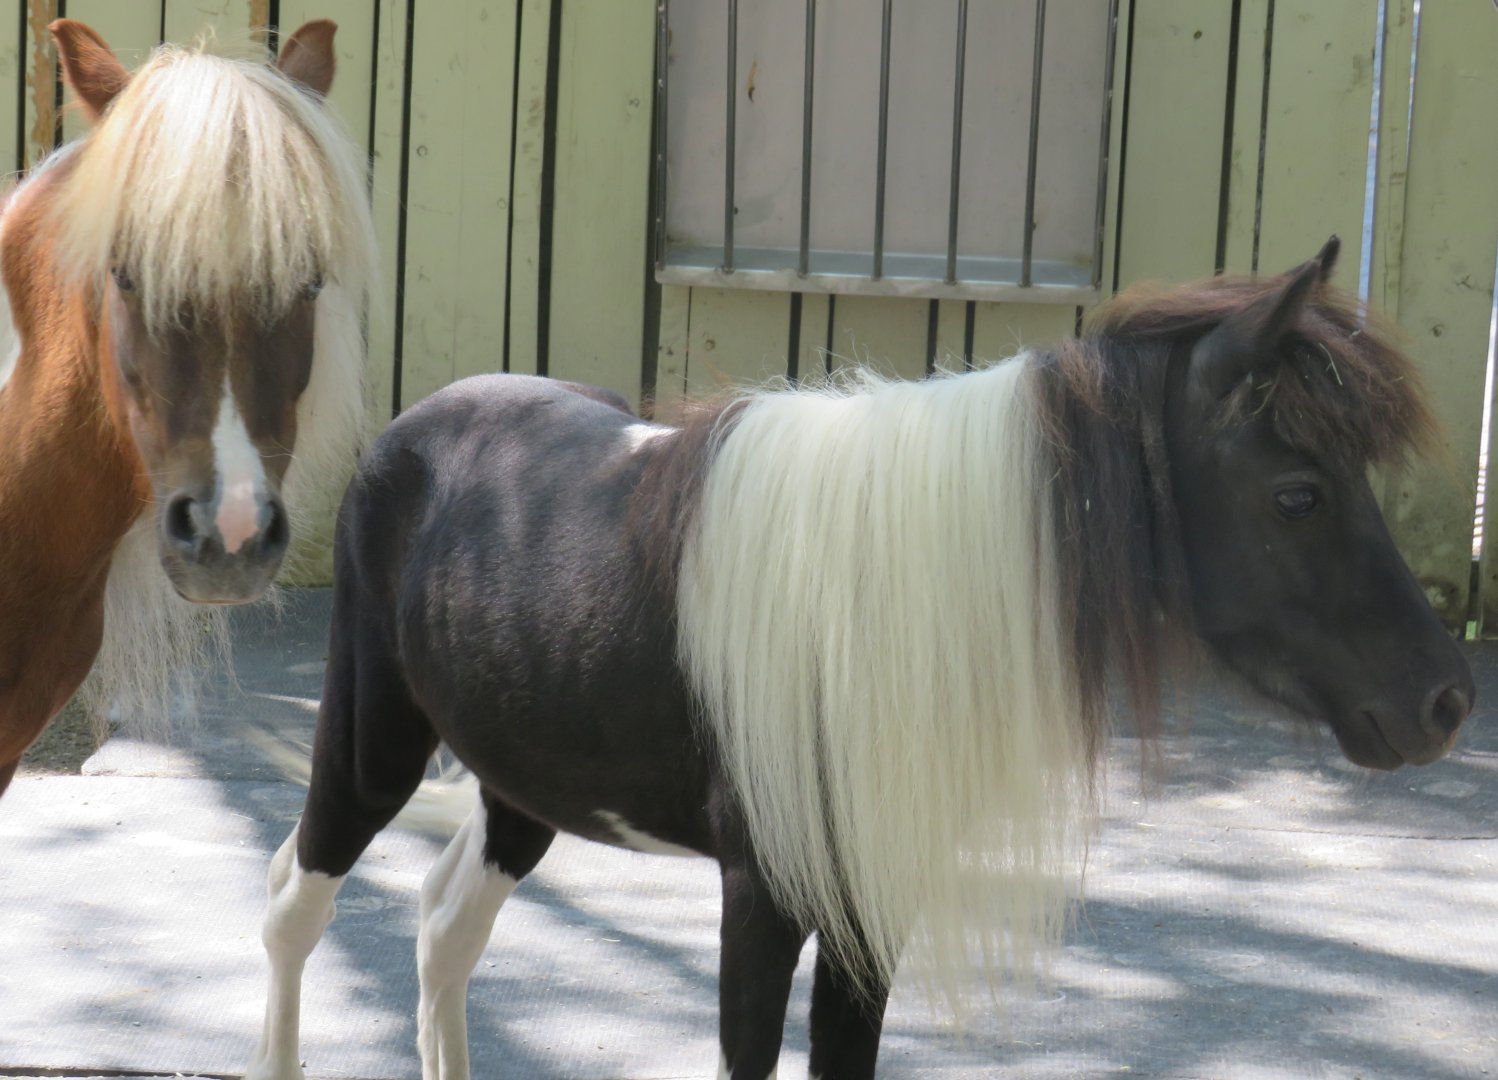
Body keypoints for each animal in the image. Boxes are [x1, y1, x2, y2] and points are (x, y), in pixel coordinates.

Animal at [246, 238, 1473, 1080]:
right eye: (1298, 495)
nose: (1445, 700)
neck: (876, 607)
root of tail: (411, 434)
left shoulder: (869, 900)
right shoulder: (765, 895)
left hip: (524, 785)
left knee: (445, 928)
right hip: (370, 747)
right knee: (297, 907)